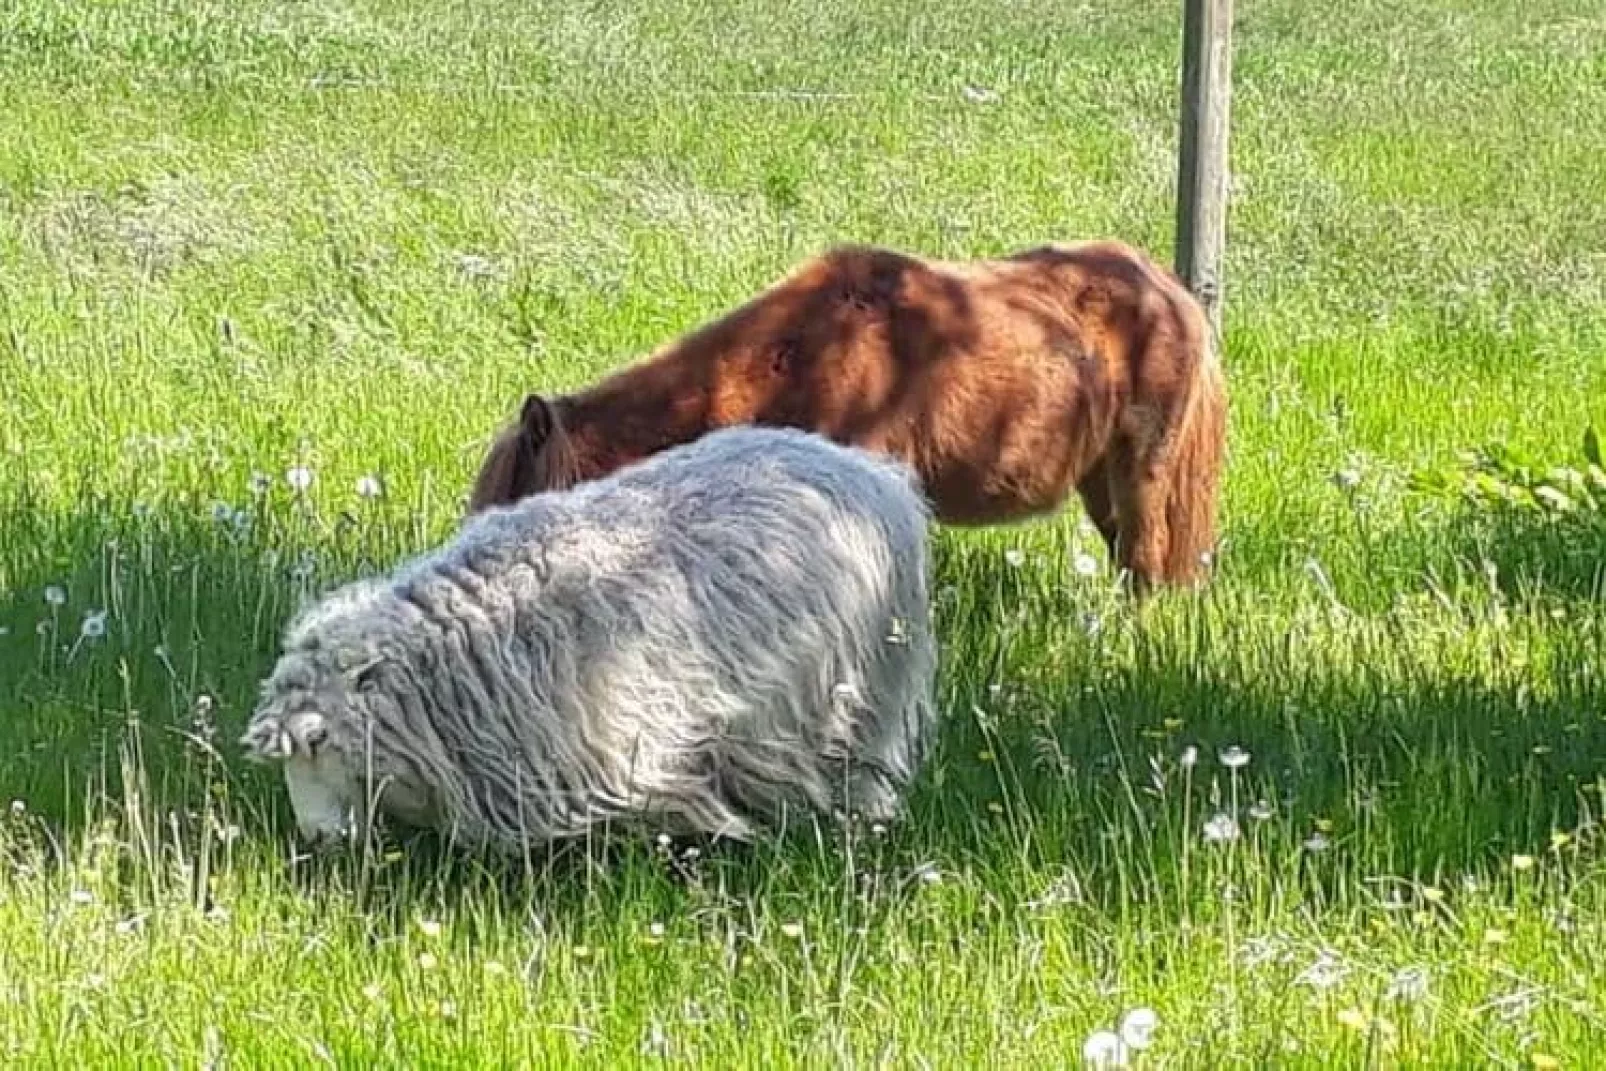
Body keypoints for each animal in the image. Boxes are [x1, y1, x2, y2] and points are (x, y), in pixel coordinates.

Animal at [468, 236, 1220, 594]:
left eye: (510, 502)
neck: (799, 356)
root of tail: (1169, 289)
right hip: (1100, 480)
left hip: (1144, 469)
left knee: (1149, 563)